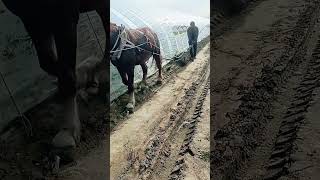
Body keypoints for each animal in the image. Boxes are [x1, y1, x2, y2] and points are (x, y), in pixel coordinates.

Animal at [0, 0, 109, 150]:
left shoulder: (64, 16)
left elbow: (65, 72)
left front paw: (69, 130)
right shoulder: (32, 20)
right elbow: (50, 64)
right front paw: (85, 78)